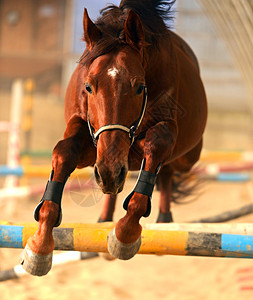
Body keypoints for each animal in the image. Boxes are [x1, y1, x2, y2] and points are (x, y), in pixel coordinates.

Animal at [20, 0, 208, 276]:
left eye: (139, 87)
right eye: (88, 86)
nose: (108, 172)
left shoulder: (159, 134)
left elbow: (156, 147)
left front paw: (124, 236)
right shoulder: (90, 143)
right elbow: (63, 154)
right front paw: (39, 247)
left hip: (187, 157)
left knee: (167, 170)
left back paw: (163, 221)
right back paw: (106, 218)